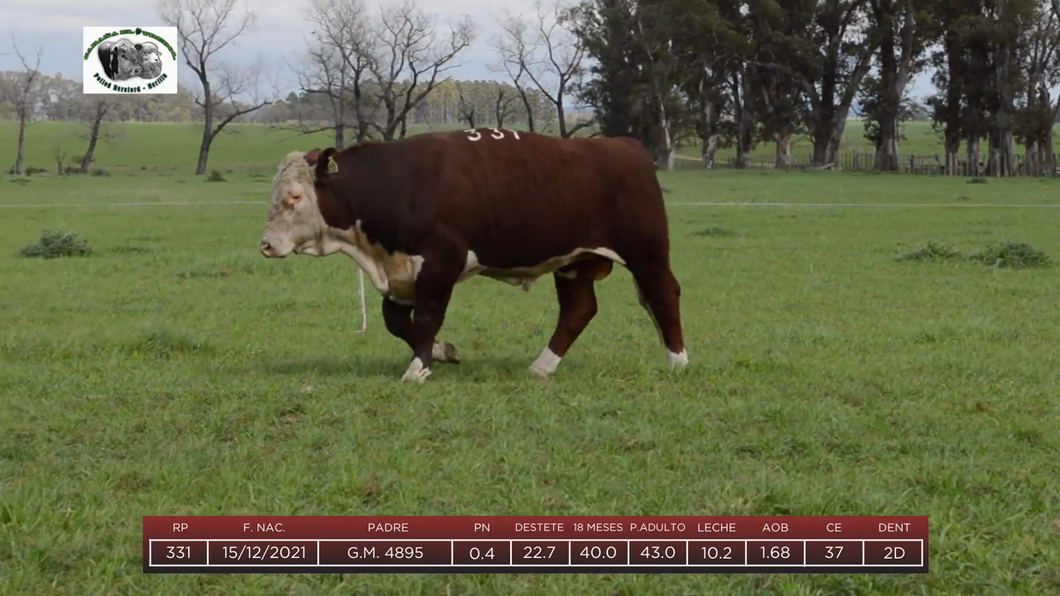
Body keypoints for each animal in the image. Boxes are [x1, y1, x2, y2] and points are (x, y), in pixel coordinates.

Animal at [257, 128, 686, 381]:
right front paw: (443, 352)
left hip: (646, 252)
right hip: (574, 263)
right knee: (578, 309)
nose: (266, 244)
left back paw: (677, 361)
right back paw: (542, 366)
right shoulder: (401, 272)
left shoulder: (441, 261)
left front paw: (419, 367)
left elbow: (427, 316)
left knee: (663, 295)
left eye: (295, 196)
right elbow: (395, 322)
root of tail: (624, 145)